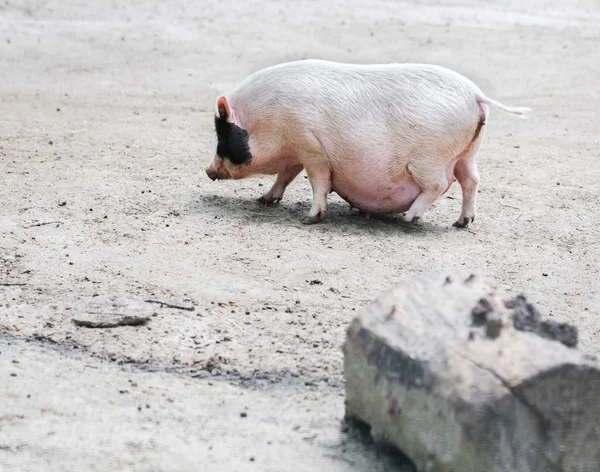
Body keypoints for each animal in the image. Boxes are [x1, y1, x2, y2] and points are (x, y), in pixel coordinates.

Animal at [206, 59, 528, 227]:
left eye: (223, 134)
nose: (208, 171)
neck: (267, 118)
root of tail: (476, 95)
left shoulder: (310, 144)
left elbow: (317, 180)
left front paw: (310, 219)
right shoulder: (298, 150)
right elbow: (286, 175)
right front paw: (263, 200)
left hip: (429, 160)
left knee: (439, 184)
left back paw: (410, 218)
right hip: (468, 153)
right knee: (471, 180)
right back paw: (461, 223)